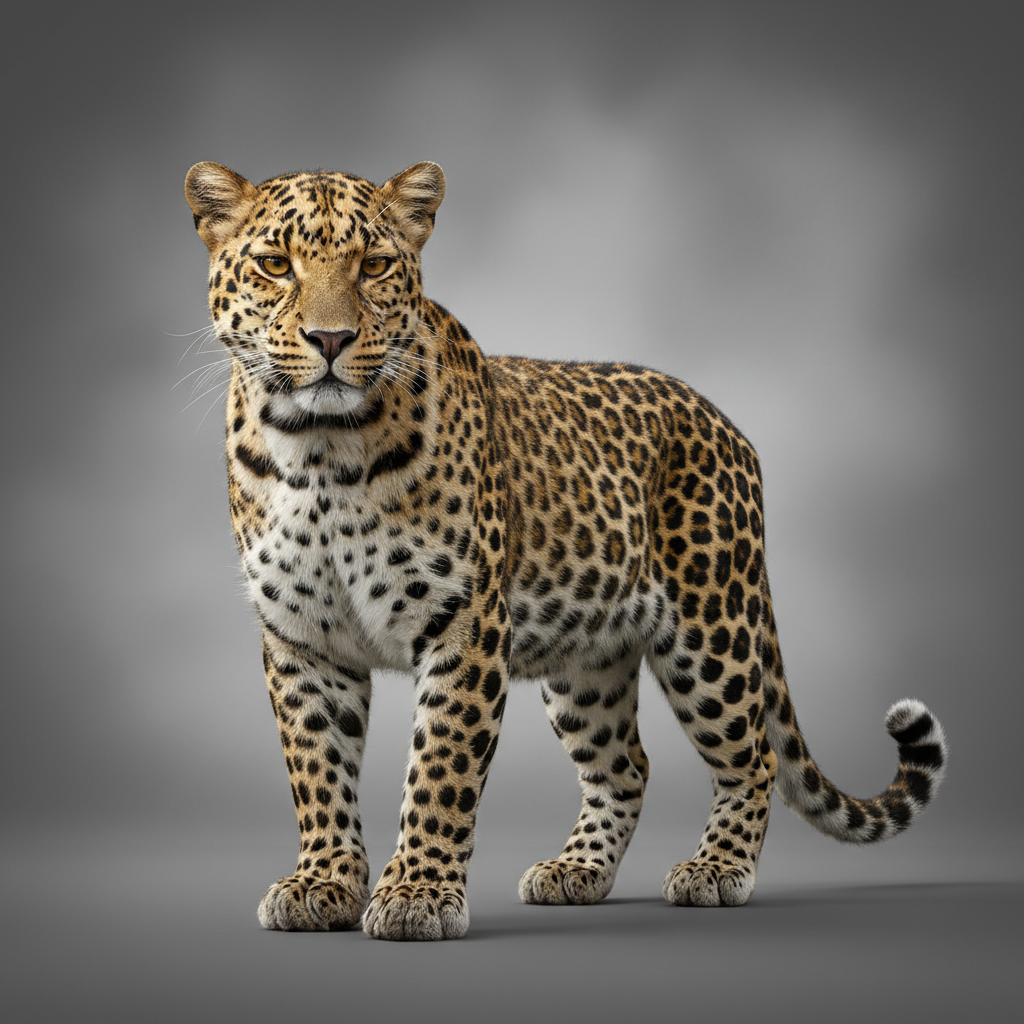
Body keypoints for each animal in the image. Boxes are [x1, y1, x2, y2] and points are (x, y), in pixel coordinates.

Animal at [183, 159, 947, 941]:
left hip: (713, 632)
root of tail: (726, 423)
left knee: (753, 758)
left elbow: (440, 768)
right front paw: (323, 882)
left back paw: (716, 868)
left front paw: (418, 894)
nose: (330, 339)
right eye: (276, 265)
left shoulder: (464, 623)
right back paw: (576, 870)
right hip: (588, 661)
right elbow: (318, 768)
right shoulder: (302, 638)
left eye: (373, 266)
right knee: (625, 765)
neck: (319, 452)